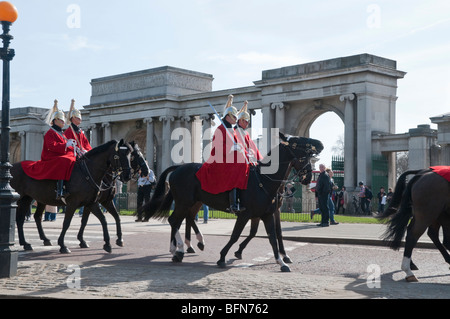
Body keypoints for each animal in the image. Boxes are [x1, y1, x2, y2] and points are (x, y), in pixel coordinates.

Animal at [142, 133, 322, 272]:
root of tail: (178, 168)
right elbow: (236, 235)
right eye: (298, 142)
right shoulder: (246, 214)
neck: (264, 180)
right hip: (184, 202)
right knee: (174, 220)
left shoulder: (267, 214)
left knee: (184, 219)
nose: (308, 176)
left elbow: (272, 236)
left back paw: (185, 247)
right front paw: (223, 256)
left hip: (192, 203)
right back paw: (179, 249)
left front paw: (282, 261)